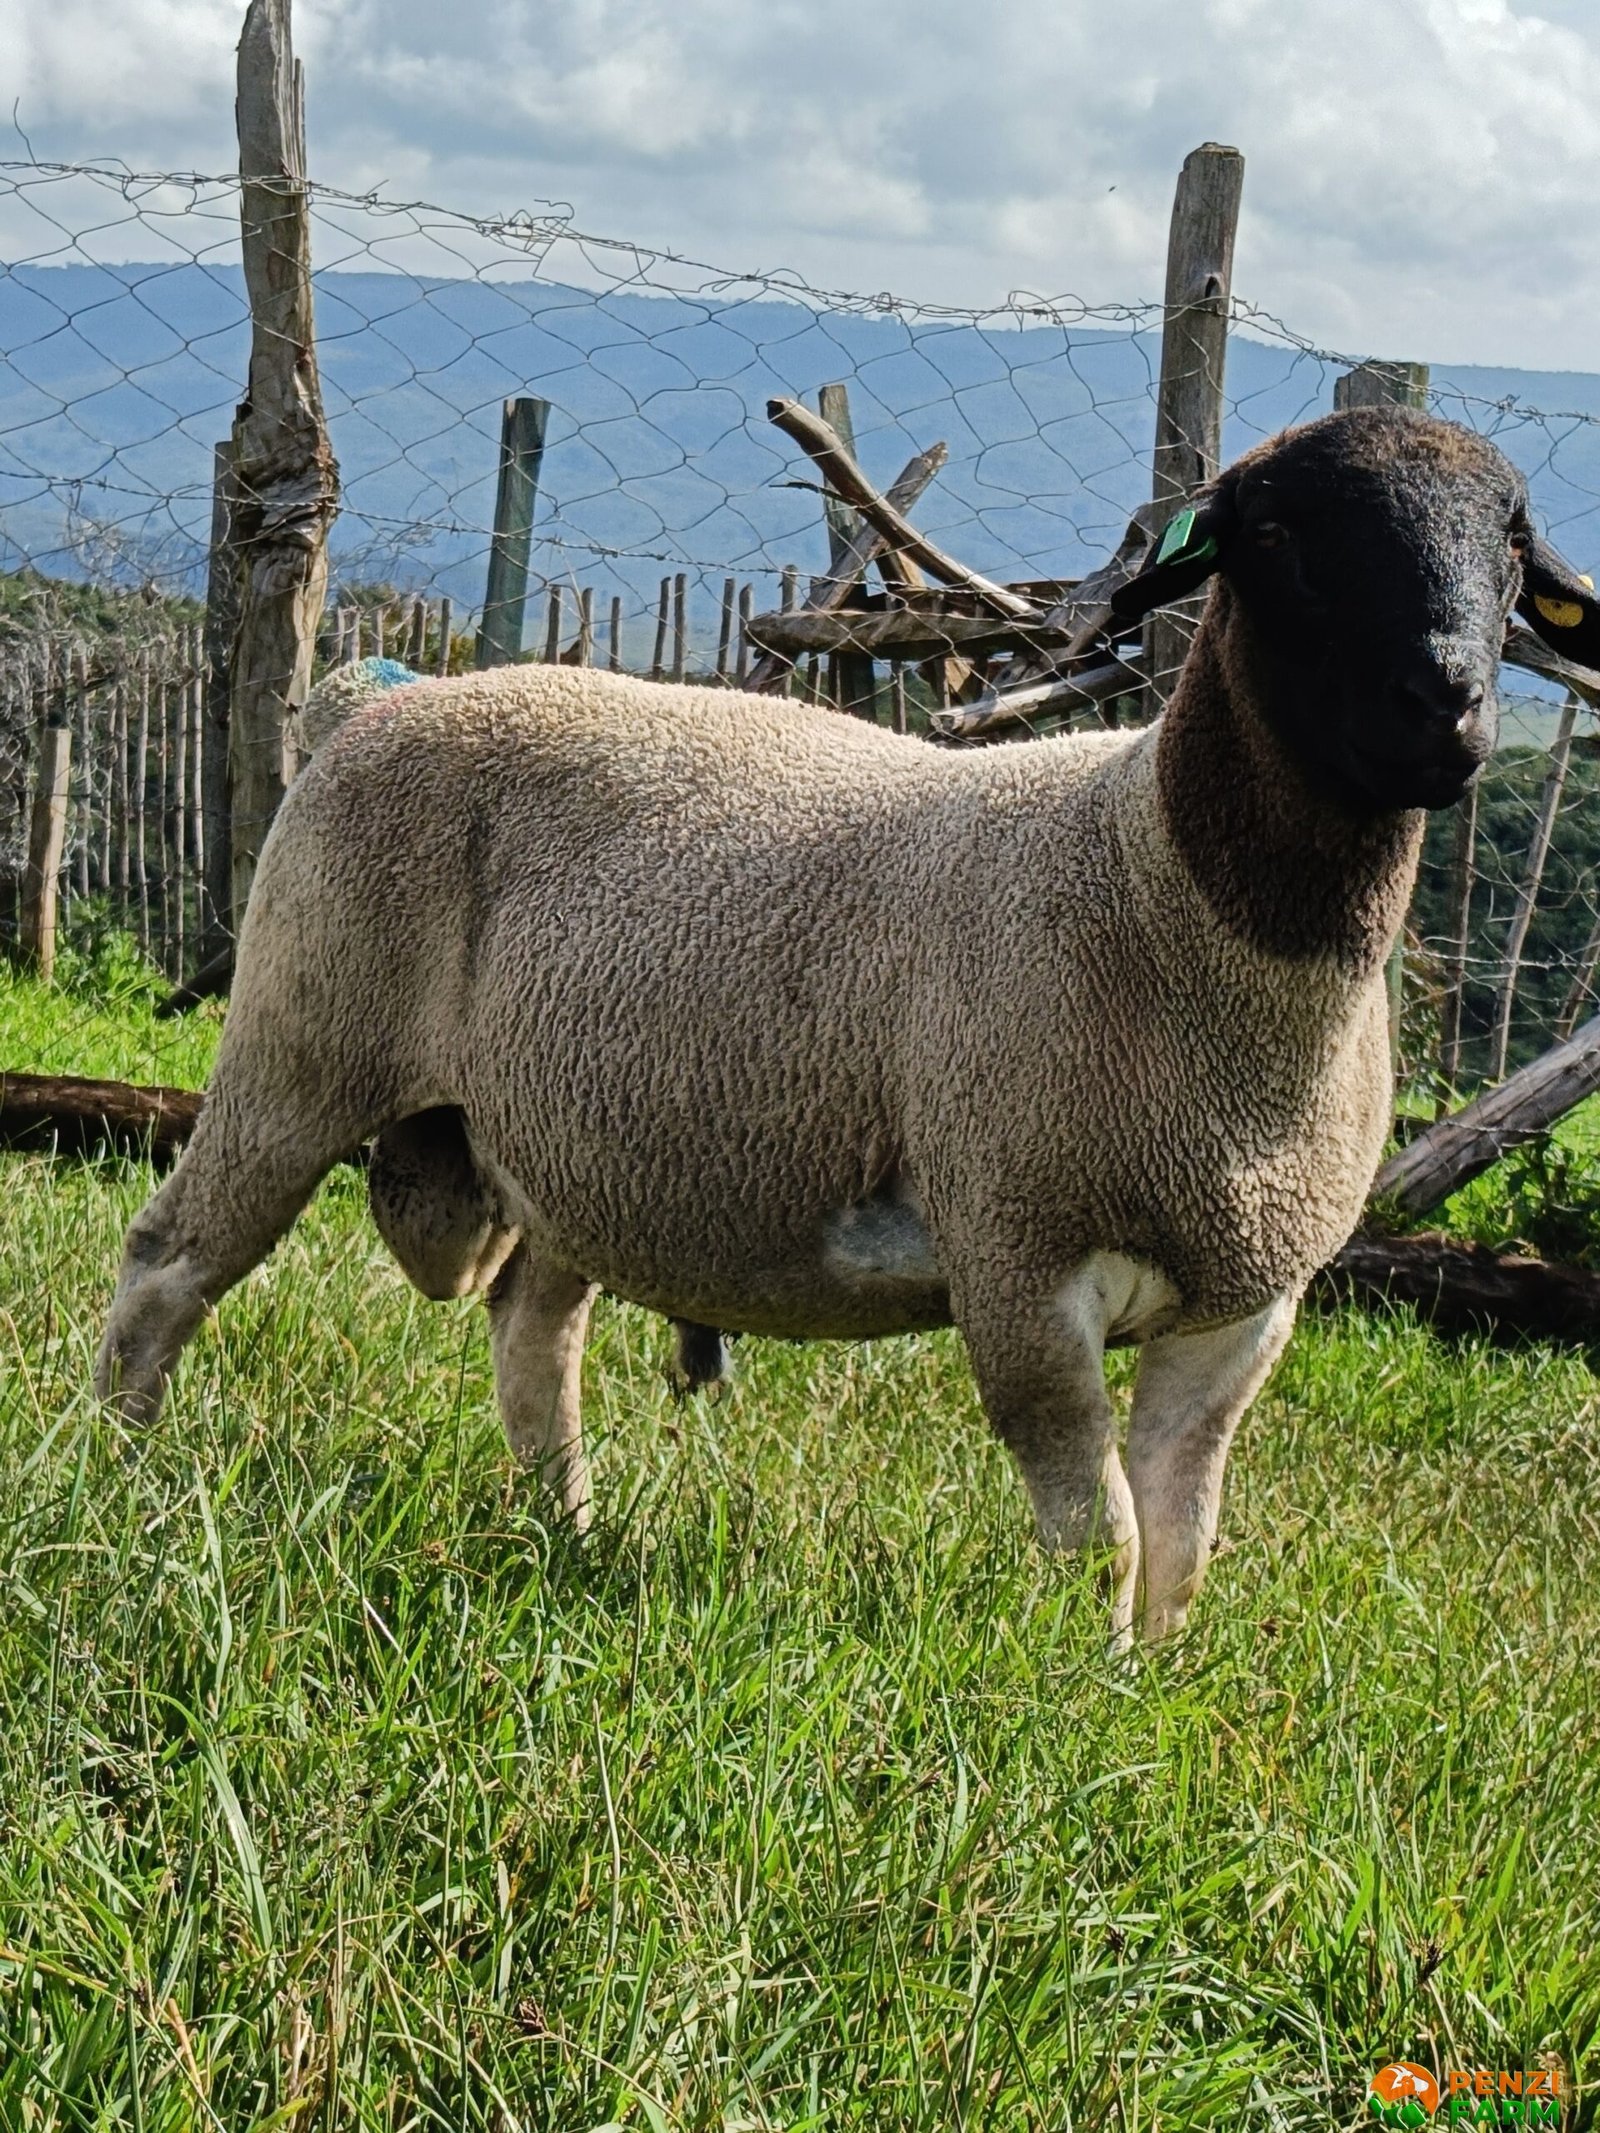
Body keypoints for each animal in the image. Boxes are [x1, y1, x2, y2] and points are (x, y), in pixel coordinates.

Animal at [95, 405, 1600, 1646]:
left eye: (1512, 542)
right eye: (1278, 532)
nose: (1447, 706)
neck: (1158, 885)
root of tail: (375, 699)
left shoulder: (1247, 1296)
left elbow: (1182, 1535)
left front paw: (1152, 1692)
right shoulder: (1016, 1253)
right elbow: (1097, 1533)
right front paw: (1075, 1696)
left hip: (569, 1139)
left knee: (532, 1333)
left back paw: (564, 1534)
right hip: (303, 1033)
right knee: (173, 1258)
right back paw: (120, 1469)